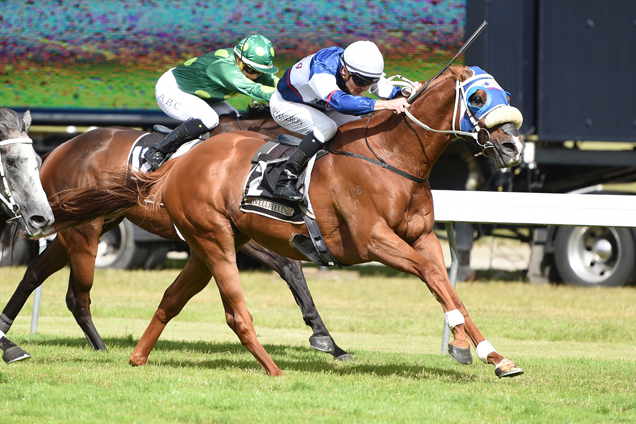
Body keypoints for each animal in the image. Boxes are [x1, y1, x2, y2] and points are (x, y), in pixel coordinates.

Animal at [0, 107, 350, 360]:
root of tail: (61, 148)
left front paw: (329, 341)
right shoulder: (239, 234)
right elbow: (290, 268)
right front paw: (325, 339)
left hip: (87, 222)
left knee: (35, 272)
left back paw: (9, 329)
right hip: (84, 230)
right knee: (75, 292)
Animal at [51, 66, 528, 378]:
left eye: (504, 93)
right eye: (478, 98)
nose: (512, 146)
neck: (391, 157)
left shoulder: (422, 236)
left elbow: (445, 284)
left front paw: (492, 355)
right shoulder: (371, 241)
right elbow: (430, 275)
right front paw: (461, 346)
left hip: (197, 244)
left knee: (168, 297)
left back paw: (135, 357)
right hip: (156, 235)